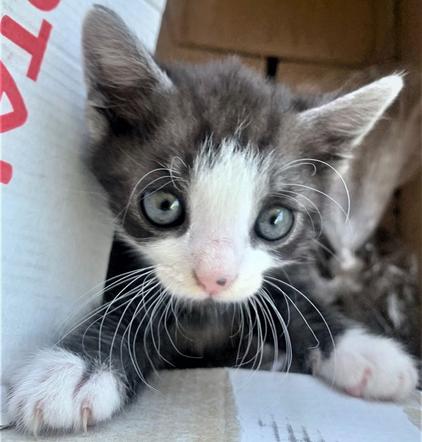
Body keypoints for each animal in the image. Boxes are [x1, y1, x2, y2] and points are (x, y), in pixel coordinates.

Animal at [7, 6, 418, 436]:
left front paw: (363, 350)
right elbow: (134, 304)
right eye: (163, 205)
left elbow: (289, 293)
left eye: (275, 220)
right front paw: (76, 369)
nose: (214, 279)